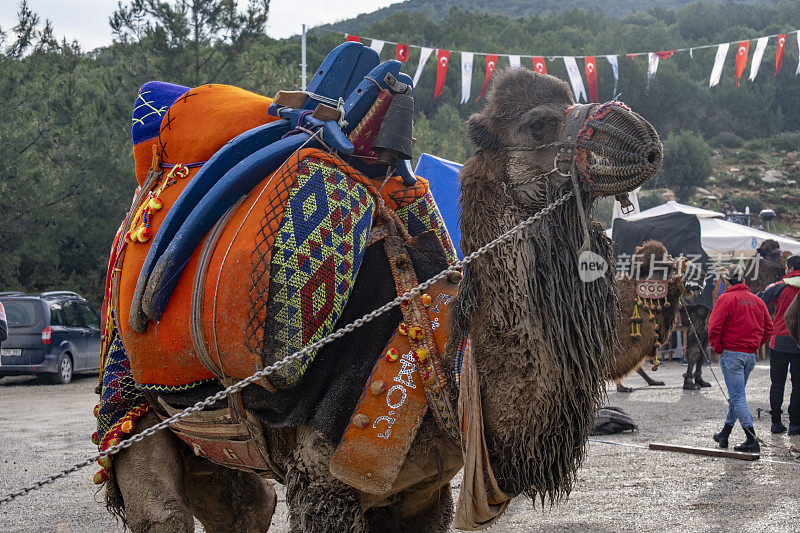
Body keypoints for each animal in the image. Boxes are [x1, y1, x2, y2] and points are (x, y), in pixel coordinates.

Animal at [101, 67, 664, 532]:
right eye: (540, 124)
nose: (641, 136)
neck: (439, 353)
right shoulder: (321, 482)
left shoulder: (423, 491)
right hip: (132, 408)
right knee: (162, 510)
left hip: (216, 439)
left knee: (246, 508)